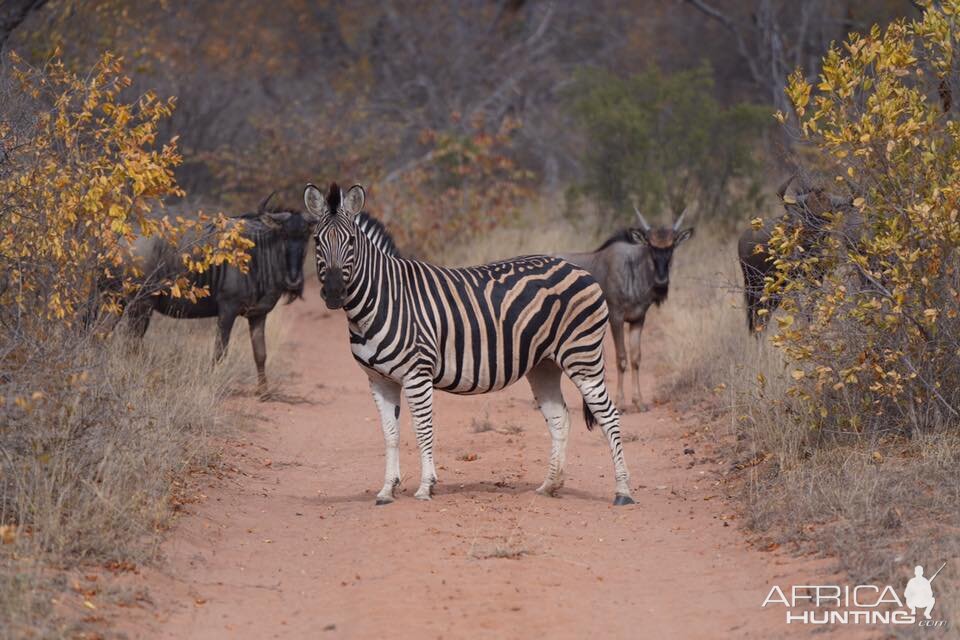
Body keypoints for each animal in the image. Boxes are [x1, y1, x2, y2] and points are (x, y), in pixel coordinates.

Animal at [308, 180, 636, 504]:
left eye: (351, 241)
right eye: (316, 241)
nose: (334, 292)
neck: (382, 299)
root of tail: (579, 269)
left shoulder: (417, 374)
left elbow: (422, 429)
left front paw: (426, 486)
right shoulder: (379, 380)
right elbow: (390, 433)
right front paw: (387, 489)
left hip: (582, 356)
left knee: (609, 415)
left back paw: (622, 491)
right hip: (544, 365)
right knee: (559, 418)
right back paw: (549, 486)